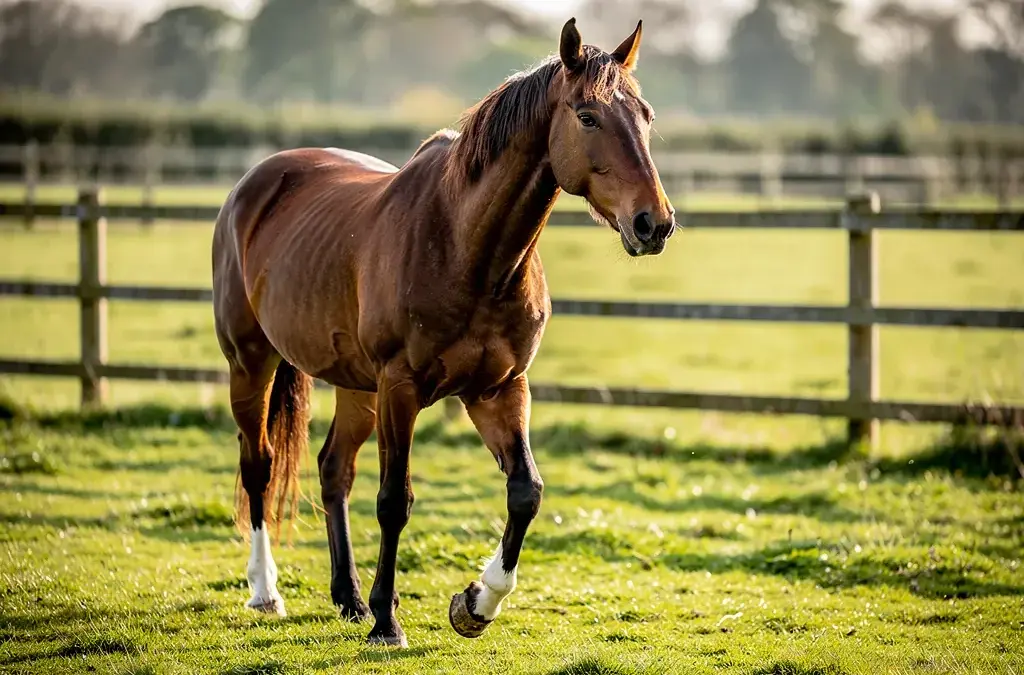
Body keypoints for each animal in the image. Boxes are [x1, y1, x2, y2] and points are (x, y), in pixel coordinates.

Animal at [211, 17, 676, 647]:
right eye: (587, 116)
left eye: (646, 116)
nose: (654, 224)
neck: (466, 246)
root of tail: (253, 184)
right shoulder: (401, 387)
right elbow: (394, 501)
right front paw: (388, 623)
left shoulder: (498, 389)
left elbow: (526, 493)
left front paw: (476, 603)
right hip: (252, 361)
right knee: (258, 463)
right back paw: (268, 592)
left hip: (357, 386)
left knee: (334, 470)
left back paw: (348, 597)